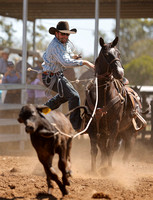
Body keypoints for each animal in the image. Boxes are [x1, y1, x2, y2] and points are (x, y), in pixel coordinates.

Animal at [84, 36, 146, 171]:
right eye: (106, 54)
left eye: (119, 53)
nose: (120, 72)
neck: (103, 94)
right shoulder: (93, 126)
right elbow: (95, 149)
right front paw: (93, 170)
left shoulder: (114, 124)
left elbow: (110, 148)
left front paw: (107, 169)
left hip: (130, 133)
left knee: (125, 153)